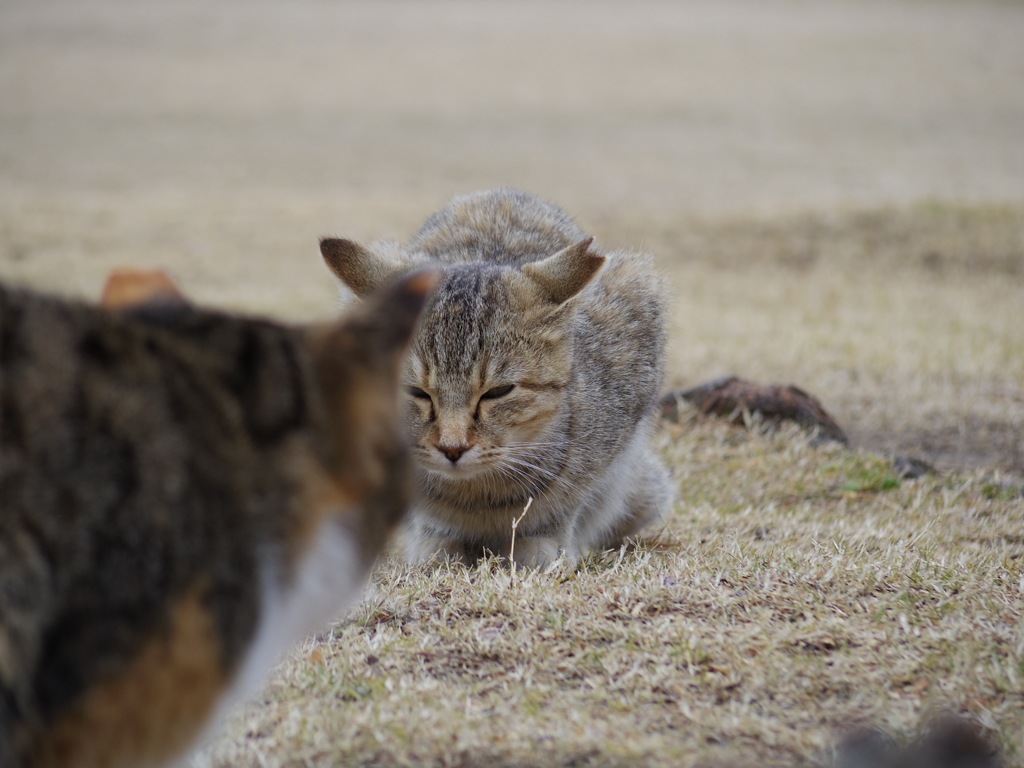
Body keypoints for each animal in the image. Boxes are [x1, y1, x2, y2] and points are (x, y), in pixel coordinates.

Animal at [319, 188, 671, 569]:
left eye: (498, 392)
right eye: (414, 391)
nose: (452, 448)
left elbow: (568, 500)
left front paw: (543, 544)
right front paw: (437, 544)